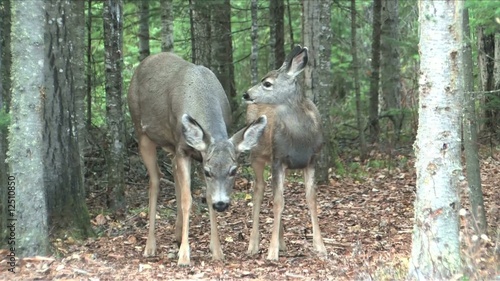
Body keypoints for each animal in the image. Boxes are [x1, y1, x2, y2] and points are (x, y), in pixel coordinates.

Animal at [129, 52, 268, 264]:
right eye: (208, 172)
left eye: (233, 170)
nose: (222, 204)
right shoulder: (183, 149)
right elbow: (188, 199)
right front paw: (184, 256)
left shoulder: (197, 154)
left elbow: (206, 196)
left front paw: (217, 250)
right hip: (142, 132)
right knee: (155, 181)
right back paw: (150, 246)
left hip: (171, 146)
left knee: (174, 175)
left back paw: (178, 234)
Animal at [243, 45, 328, 258]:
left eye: (267, 83)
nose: (246, 94)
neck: (300, 138)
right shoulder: (278, 158)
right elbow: (278, 202)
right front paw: (271, 252)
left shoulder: (311, 160)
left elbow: (311, 199)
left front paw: (320, 246)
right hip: (256, 155)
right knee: (258, 190)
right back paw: (253, 245)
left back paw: (282, 242)